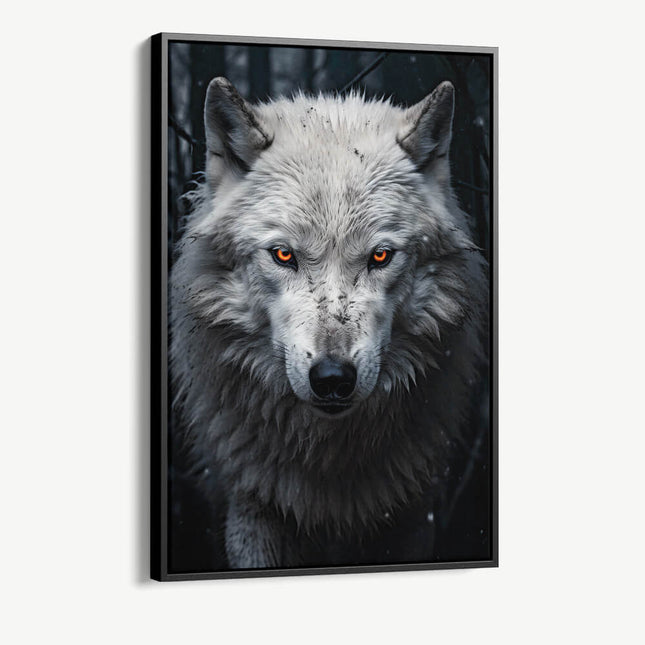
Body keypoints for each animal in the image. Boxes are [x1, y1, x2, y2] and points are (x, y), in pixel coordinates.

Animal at [170, 76, 488, 569]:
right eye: (284, 255)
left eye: (381, 256)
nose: (333, 378)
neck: (328, 461)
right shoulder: (252, 511)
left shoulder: (413, 518)